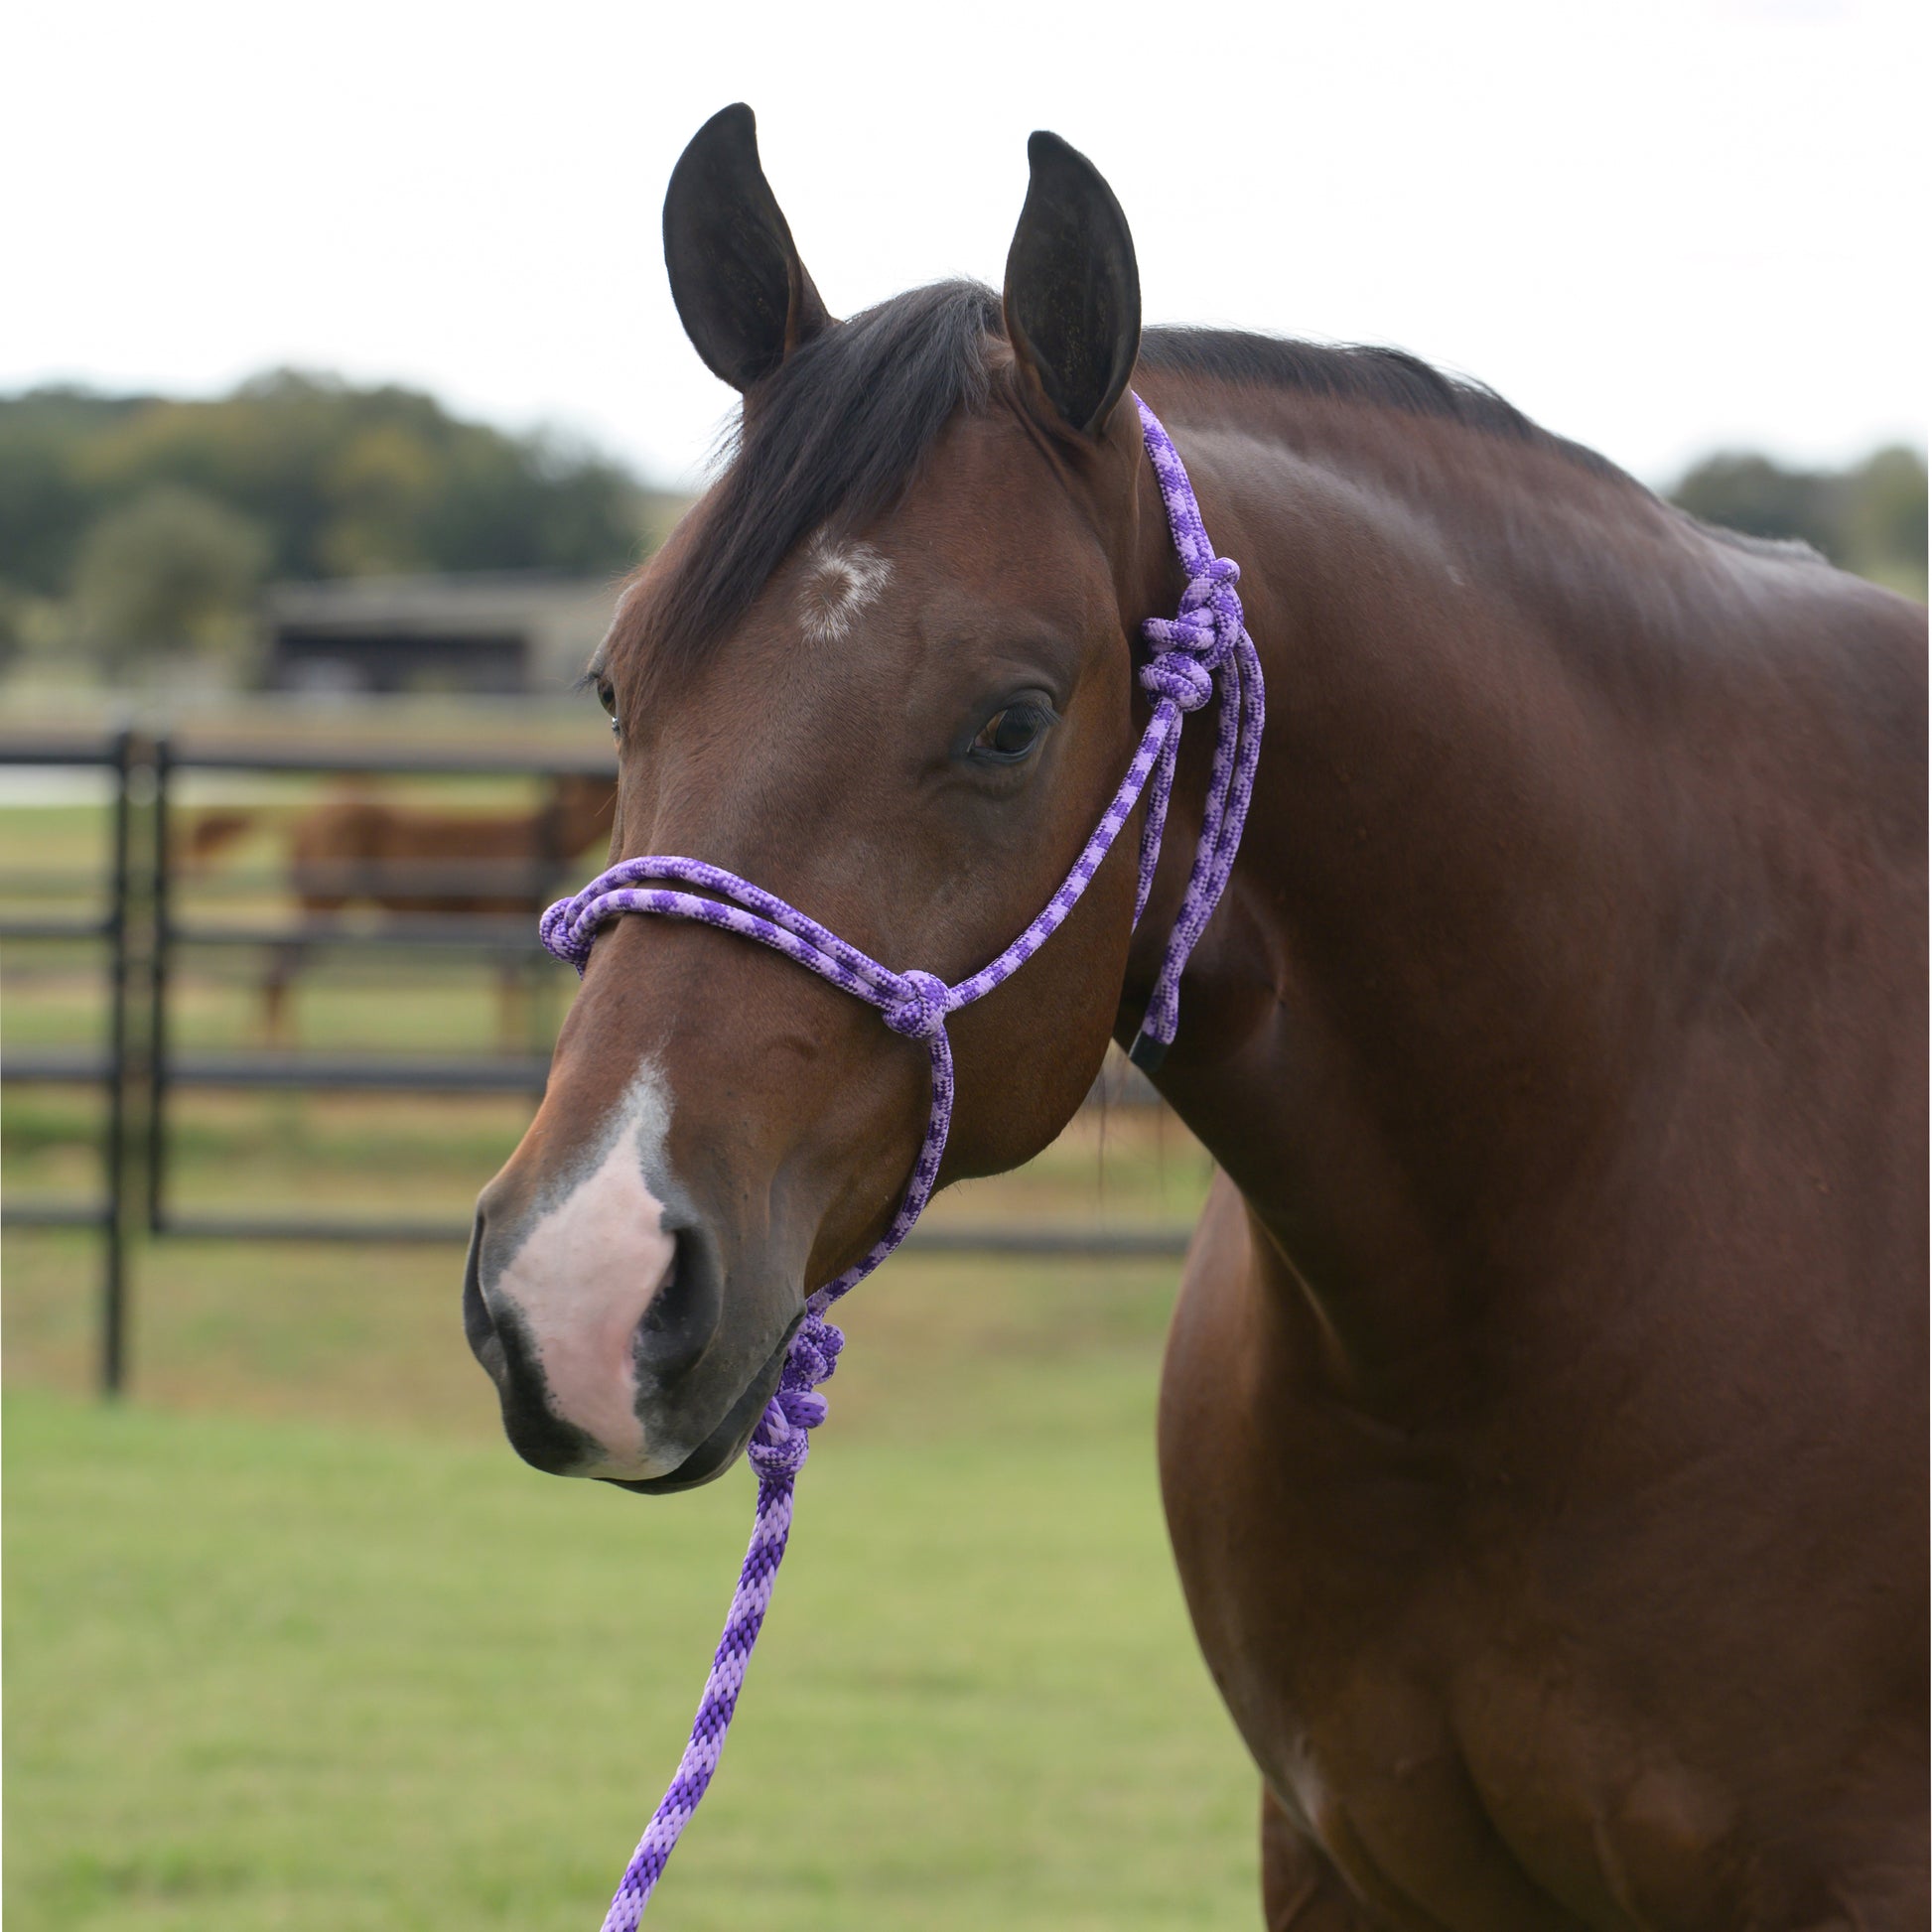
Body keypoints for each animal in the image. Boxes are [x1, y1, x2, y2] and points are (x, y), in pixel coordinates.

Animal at [187, 773, 614, 1045]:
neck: (534, 841)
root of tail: (296, 819)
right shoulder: (501, 918)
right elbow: (508, 989)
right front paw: (508, 1048)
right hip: (321, 902)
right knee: (279, 963)